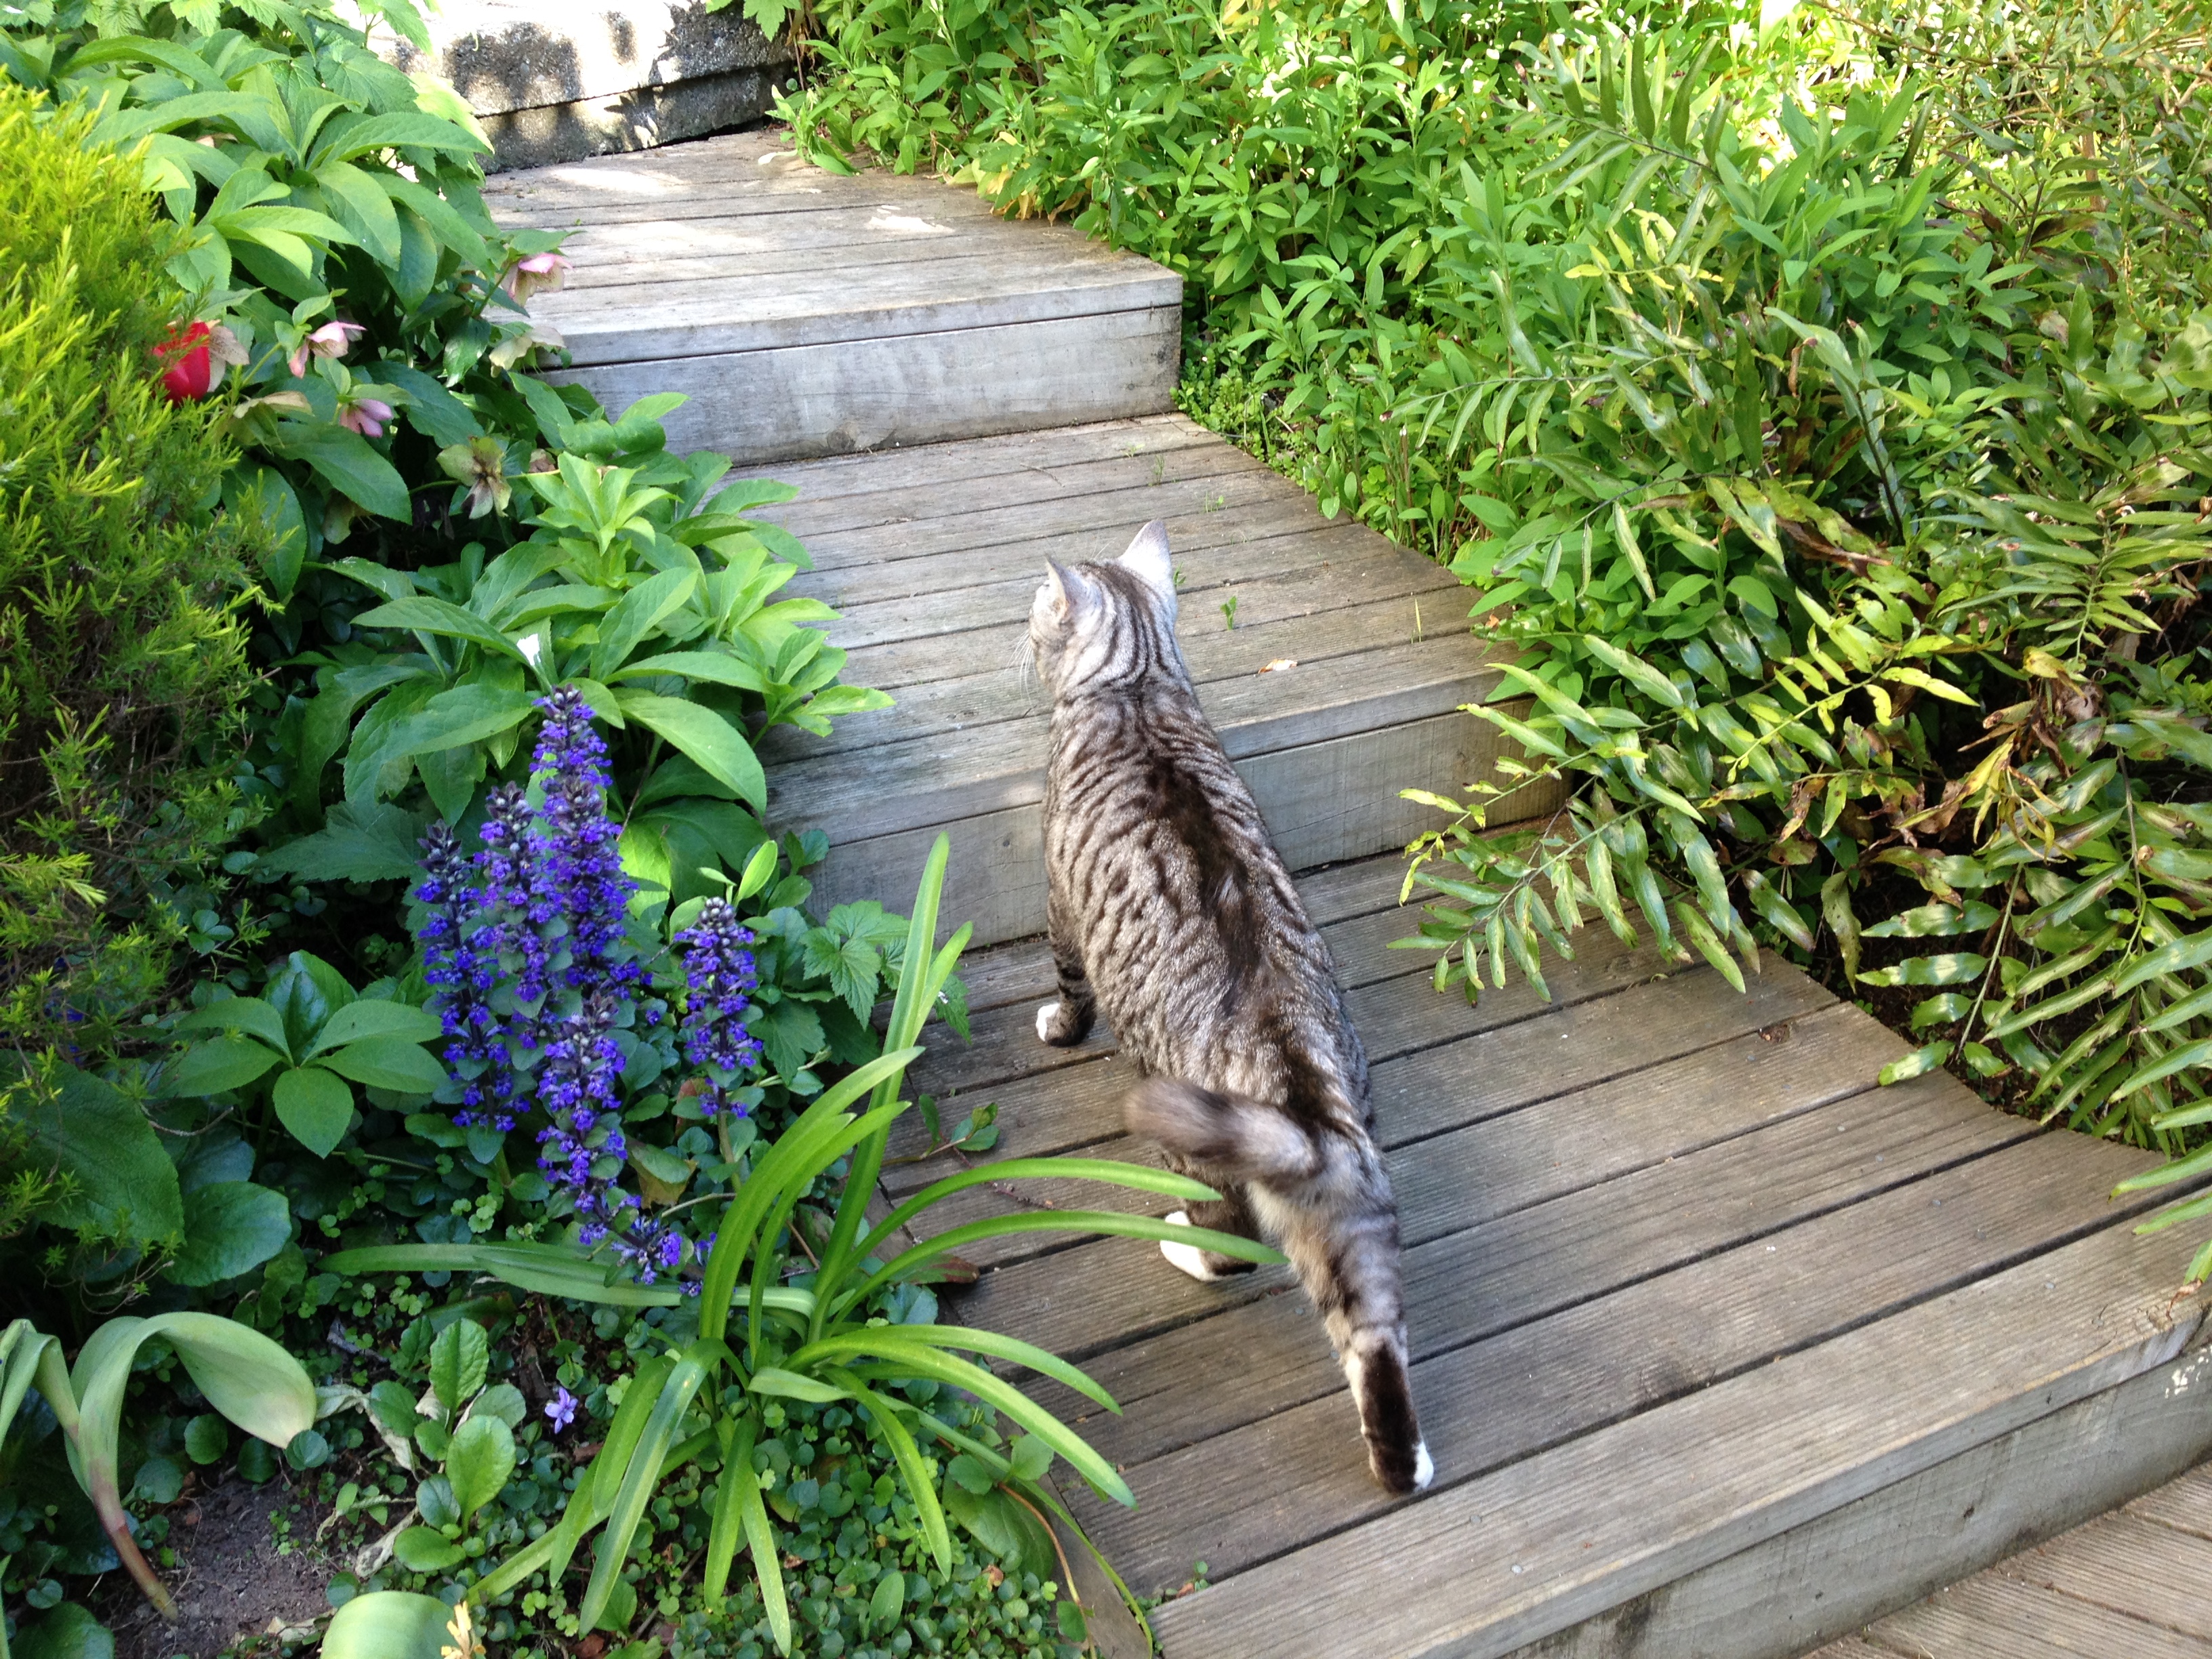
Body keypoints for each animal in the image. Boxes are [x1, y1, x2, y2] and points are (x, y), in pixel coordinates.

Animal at [1027, 519, 1431, 1496]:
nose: (1019, 630)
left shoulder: (1057, 904)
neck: (1137, 679)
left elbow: (1066, 986)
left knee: (1227, 1243)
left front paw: (1059, 1027)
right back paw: (1404, 1461)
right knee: (1372, 1330)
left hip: (1194, 1153)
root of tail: (1304, 1101)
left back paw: (1181, 1243)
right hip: (1354, 1193)